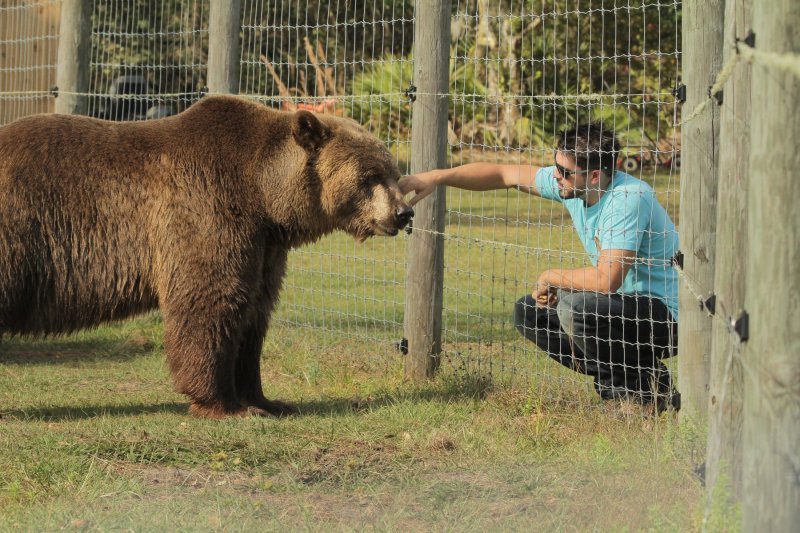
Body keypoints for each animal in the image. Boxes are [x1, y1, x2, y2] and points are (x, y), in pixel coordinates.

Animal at [0, 97, 412, 418]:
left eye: (394, 172)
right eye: (370, 176)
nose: (404, 213)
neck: (263, 196)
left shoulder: (264, 247)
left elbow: (254, 314)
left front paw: (267, 400)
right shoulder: (209, 209)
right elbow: (211, 302)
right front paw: (224, 404)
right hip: (18, 231)